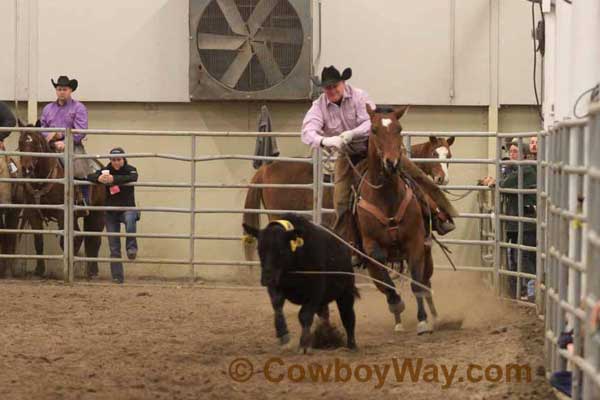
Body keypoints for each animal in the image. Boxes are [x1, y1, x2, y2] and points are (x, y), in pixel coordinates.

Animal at [17, 129, 106, 278]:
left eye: (36, 144)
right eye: (20, 143)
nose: (26, 169)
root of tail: (100, 167)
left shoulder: (61, 213)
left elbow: (63, 241)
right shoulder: (33, 212)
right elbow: (38, 240)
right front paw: (39, 270)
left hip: (97, 212)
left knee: (94, 240)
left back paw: (92, 271)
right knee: (82, 237)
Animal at [356, 106, 436, 334]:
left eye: (399, 129)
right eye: (374, 129)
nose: (392, 163)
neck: (387, 197)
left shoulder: (416, 242)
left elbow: (417, 284)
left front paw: (422, 321)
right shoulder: (371, 247)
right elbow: (387, 283)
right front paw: (397, 304)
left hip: (427, 256)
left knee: (426, 282)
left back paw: (433, 314)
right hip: (371, 266)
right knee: (384, 285)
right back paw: (398, 319)